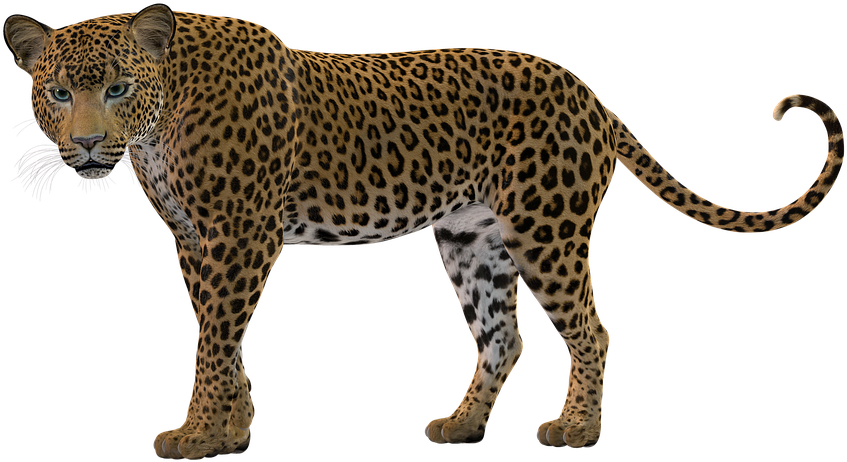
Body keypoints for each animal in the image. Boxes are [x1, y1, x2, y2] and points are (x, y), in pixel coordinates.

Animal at [5, 5, 844, 459]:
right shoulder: (195, 244)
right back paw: (461, 424)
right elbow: (224, 338)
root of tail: (586, 91)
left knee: (589, 330)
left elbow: (212, 343)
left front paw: (198, 434)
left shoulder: (239, 237)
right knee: (503, 335)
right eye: (58, 93)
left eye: (117, 87)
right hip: (471, 239)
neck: (159, 118)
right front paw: (232, 428)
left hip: (545, 227)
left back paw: (574, 428)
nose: (86, 145)